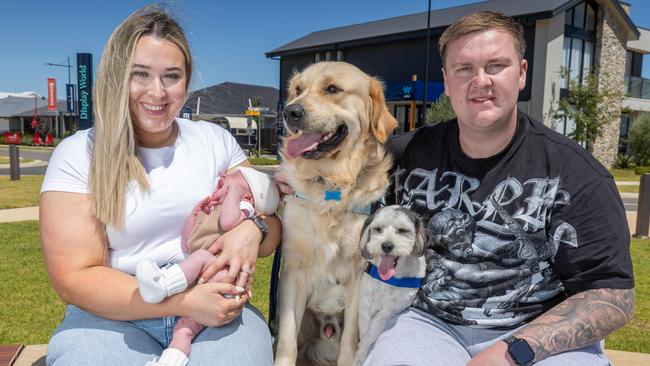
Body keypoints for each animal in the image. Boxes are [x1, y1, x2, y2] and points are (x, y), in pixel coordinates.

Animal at [354, 206, 426, 366]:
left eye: (403, 230)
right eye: (378, 229)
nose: (386, 245)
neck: (388, 279)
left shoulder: (390, 309)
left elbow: (372, 329)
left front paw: (360, 353)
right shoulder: (365, 302)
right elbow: (364, 326)